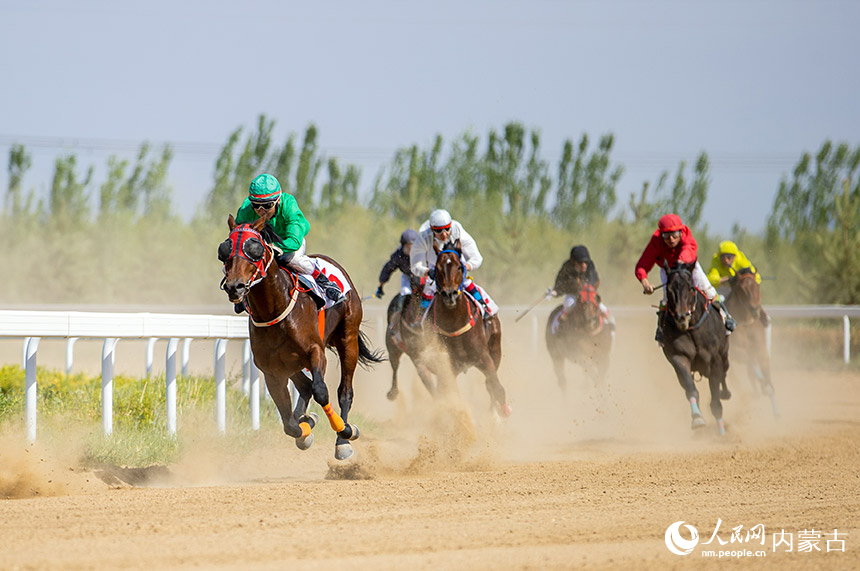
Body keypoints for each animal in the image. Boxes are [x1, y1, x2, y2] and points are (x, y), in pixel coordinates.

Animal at [218, 214, 382, 460]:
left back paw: (343, 439)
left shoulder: (315, 352)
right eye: (225, 250)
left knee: (344, 391)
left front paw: (344, 430)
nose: (234, 286)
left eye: (254, 248)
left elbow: (321, 391)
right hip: (291, 362)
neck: (274, 310)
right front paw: (305, 428)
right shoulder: (272, 370)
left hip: (348, 339)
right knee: (304, 387)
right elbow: (288, 423)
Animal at [424, 239, 510, 418]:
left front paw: (500, 414)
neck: (454, 322)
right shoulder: (447, 366)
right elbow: (449, 394)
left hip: (495, 348)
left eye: (459, 266)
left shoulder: (485, 358)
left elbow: (496, 387)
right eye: (437, 268)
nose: (449, 295)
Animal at [660, 262, 728, 434]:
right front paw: (697, 419)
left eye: (691, 288)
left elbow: (715, 400)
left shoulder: (715, 360)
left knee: (725, 373)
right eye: (669, 289)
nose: (681, 317)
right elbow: (691, 389)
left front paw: (722, 432)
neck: (691, 329)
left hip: (724, 354)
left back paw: (726, 392)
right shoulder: (679, 357)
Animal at [724, 266, 780, 418]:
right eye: (742, 289)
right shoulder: (735, 351)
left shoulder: (760, 347)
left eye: (757, 285)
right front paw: (763, 386)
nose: (755, 309)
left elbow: (764, 365)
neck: (746, 323)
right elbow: (748, 361)